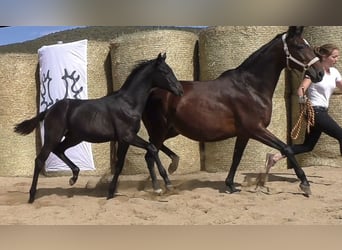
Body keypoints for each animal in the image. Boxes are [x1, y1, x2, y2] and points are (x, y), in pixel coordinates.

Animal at [14, 53, 183, 203]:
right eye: (165, 71)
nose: (180, 90)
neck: (128, 104)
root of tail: (49, 110)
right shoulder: (128, 136)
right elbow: (152, 148)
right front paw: (165, 185)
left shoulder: (124, 141)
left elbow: (119, 165)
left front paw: (110, 193)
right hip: (53, 136)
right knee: (39, 160)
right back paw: (32, 196)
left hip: (74, 137)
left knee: (59, 150)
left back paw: (73, 178)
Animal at [143, 26, 324, 196]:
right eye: (300, 46)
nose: (320, 73)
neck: (251, 88)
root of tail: (151, 90)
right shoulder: (256, 129)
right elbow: (286, 148)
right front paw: (305, 184)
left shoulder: (244, 133)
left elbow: (236, 157)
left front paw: (230, 185)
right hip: (160, 129)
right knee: (150, 153)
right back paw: (160, 186)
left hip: (171, 130)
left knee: (151, 148)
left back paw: (173, 165)